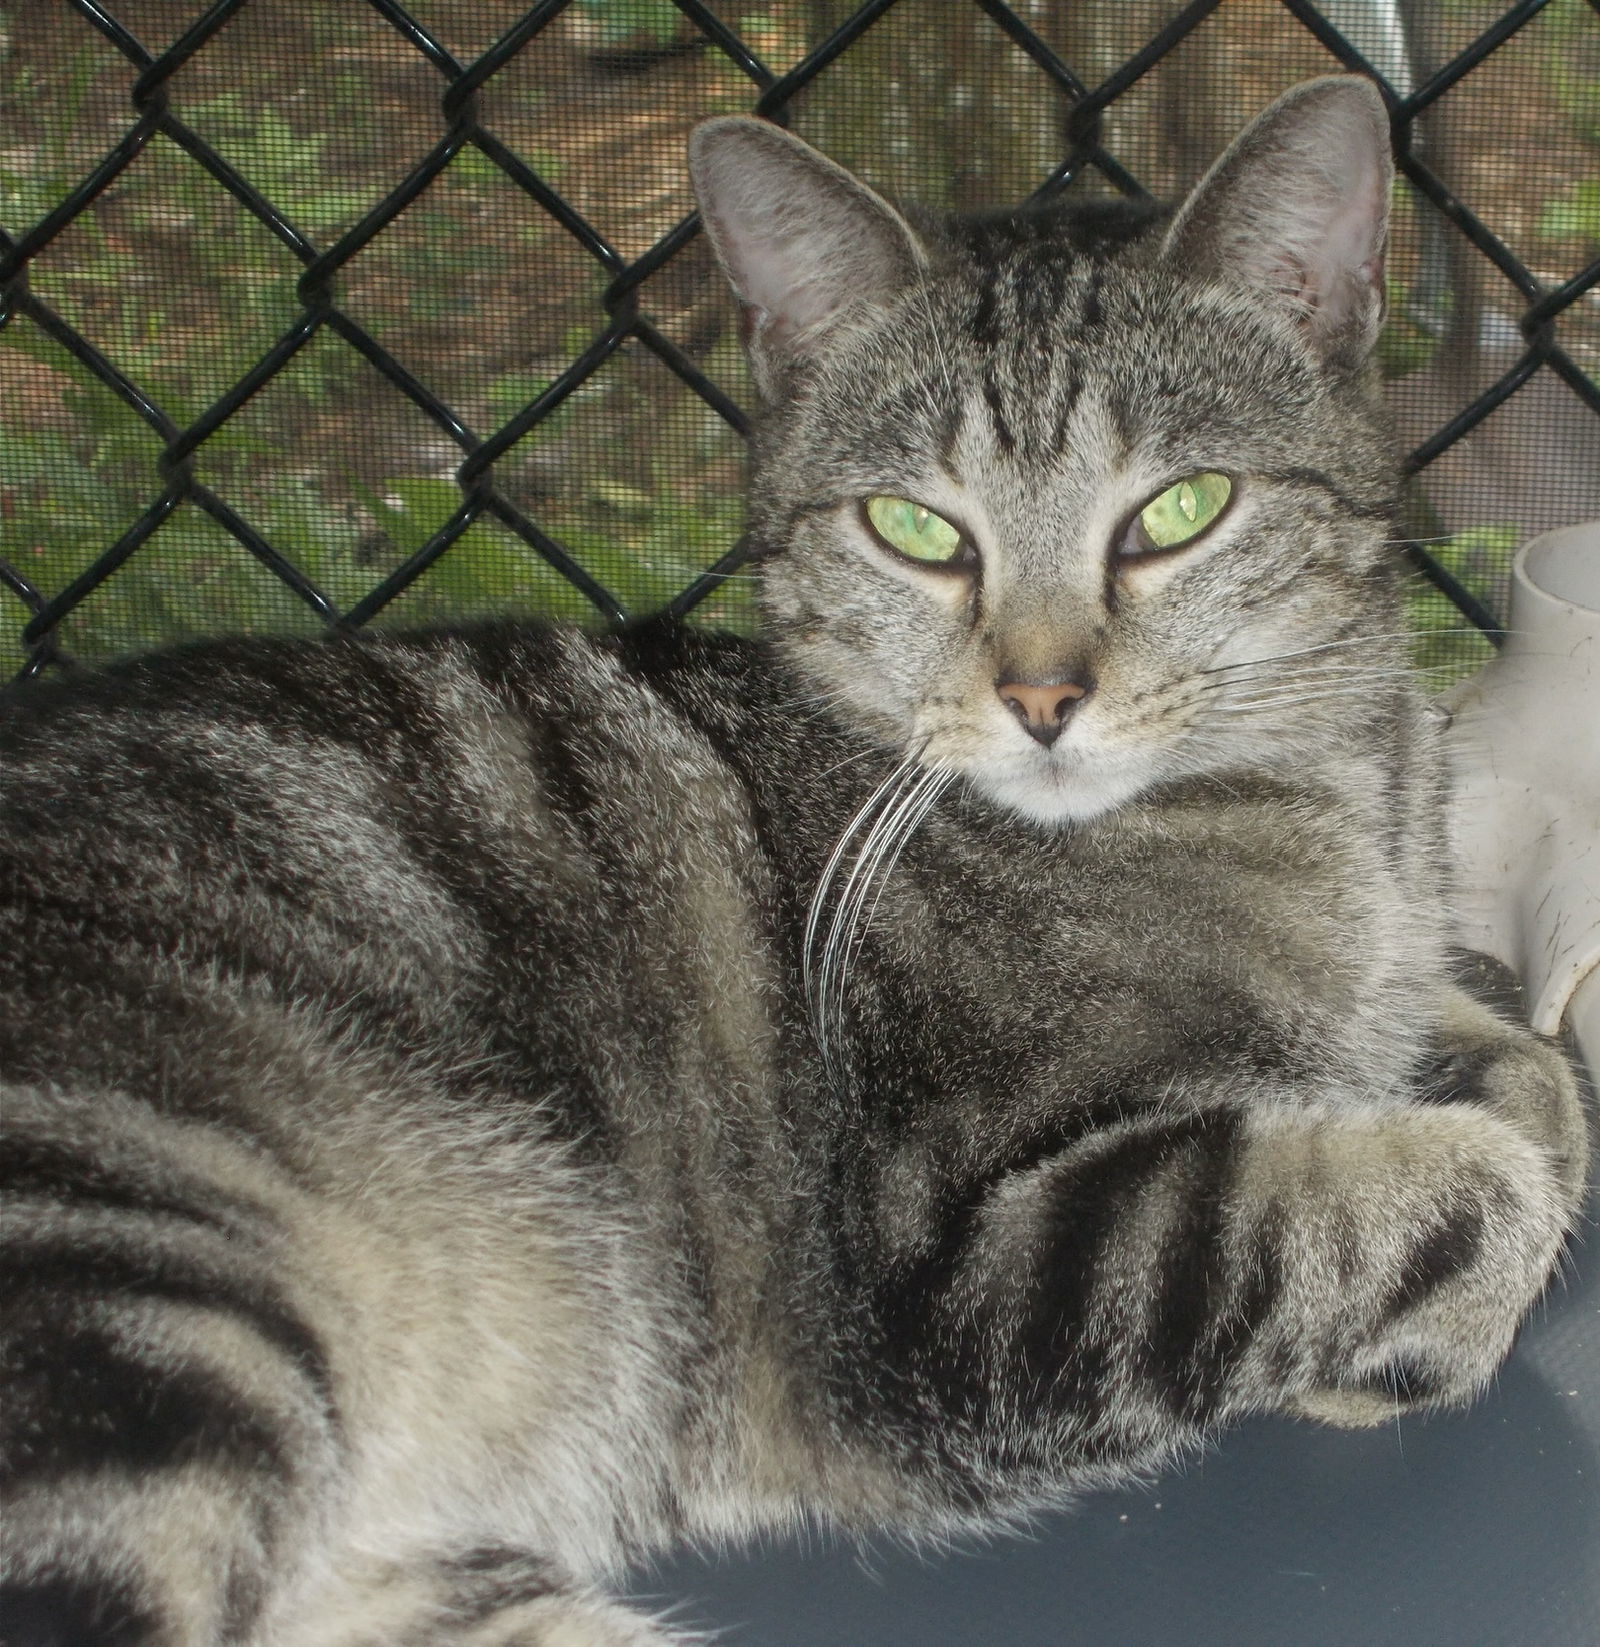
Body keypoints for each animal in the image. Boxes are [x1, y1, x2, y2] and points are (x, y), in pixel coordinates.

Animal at [0, 77, 1588, 1647]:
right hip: (145, 1300)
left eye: (1180, 509)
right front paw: (1407, 1335)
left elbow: (1527, 1075)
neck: (1331, 793)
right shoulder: (956, 1278)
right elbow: (1475, 1189)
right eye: (916, 529)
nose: (1043, 698)